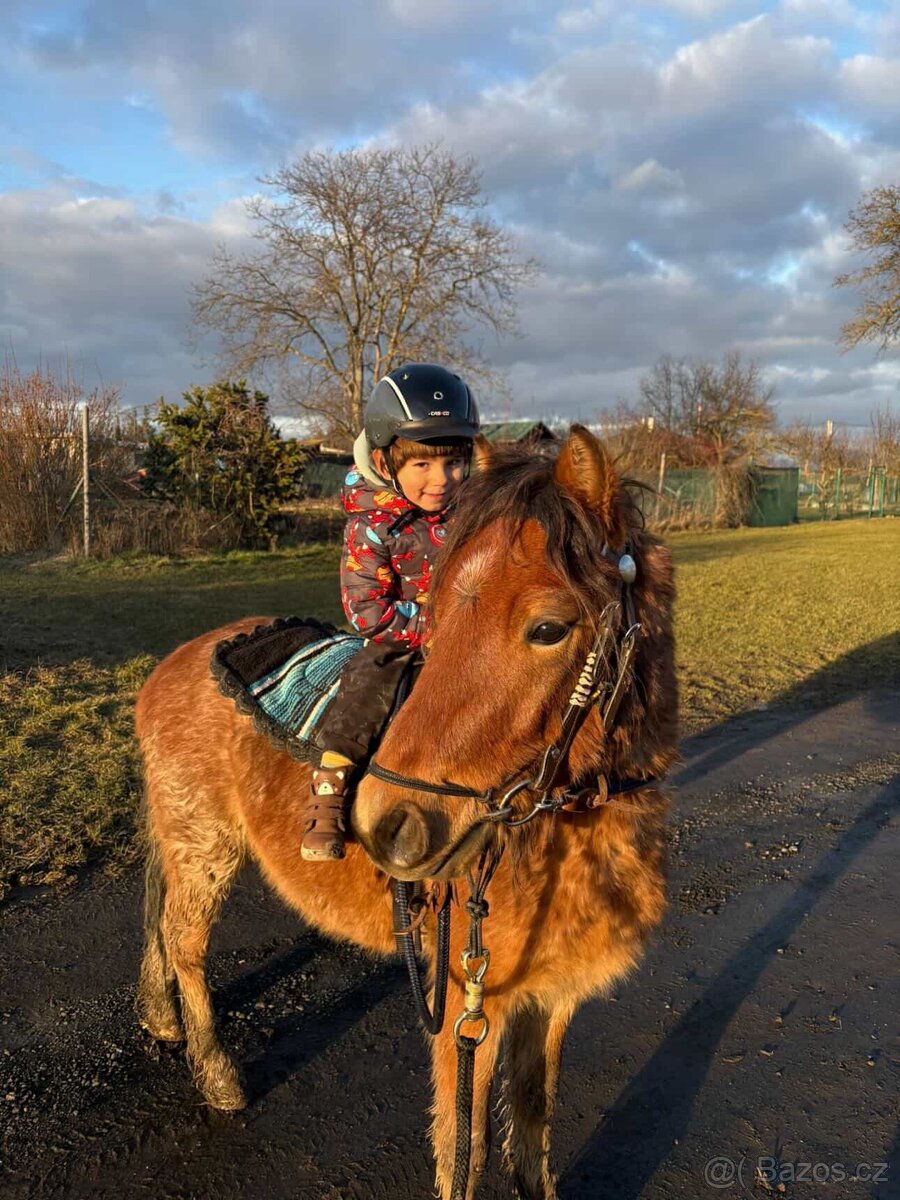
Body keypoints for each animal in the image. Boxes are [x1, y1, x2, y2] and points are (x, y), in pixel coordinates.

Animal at [135, 425, 679, 1200]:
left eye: (549, 628)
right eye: (440, 609)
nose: (387, 823)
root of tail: (170, 666)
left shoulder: (549, 1000)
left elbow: (533, 1119)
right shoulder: (468, 1010)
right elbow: (464, 1152)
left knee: (156, 923)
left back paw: (161, 1021)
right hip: (204, 847)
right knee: (183, 942)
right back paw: (217, 1076)